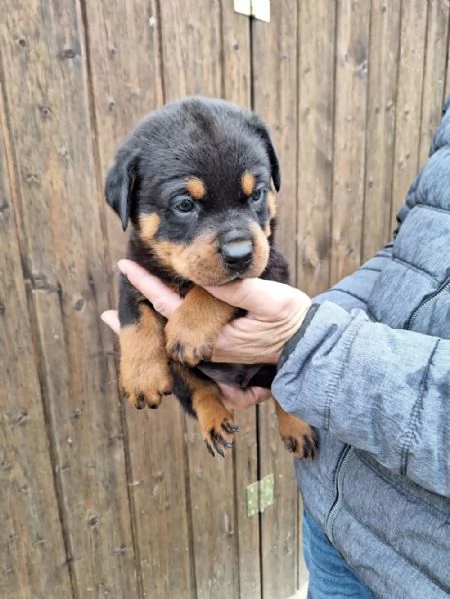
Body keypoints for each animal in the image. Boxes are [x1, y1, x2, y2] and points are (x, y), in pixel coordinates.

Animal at [105, 96, 316, 460]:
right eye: (184, 204)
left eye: (257, 194)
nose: (239, 254)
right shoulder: (133, 269)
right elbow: (135, 315)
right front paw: (142, 376)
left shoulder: (270, 267)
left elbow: (215, 290)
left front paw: (188, 328)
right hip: (180, 372)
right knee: (199, 388)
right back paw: (215, 420)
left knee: (281, 388)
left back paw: (297, 427)